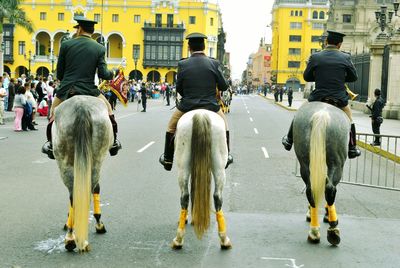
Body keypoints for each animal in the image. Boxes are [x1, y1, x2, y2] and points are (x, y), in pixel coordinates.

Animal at [52, 95, 113, 252]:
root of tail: (81, 108)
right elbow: (96, 189)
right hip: (96, 158)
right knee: (87, 190)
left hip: (65, 161)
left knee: (75, 195)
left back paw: (71, 237)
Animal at [294, 101, 350, 246]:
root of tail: (322, 114)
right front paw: (327, 215)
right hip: (336, 162)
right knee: (328, 189)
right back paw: (331, 229)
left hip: (305, 161)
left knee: (312, 189)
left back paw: (316, 231)